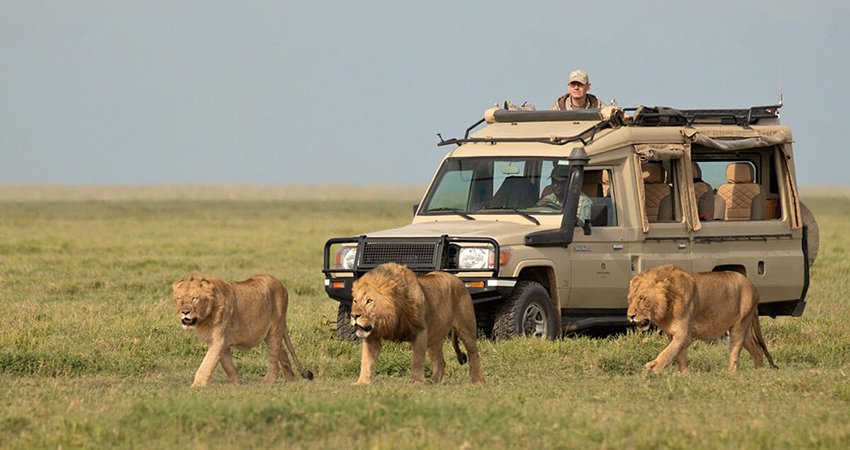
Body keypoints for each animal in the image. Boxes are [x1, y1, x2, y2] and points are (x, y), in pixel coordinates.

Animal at [171, 274, 313, 387]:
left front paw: (196, 386)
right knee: (282, 351)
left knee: (274, 358)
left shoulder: (218, 340)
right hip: (270, 333)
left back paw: (267, 383)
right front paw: (236, 384)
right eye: (179, 298)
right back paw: (291, 380)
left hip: (275, 328)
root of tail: (281, 285)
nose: (185, 312)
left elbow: (207, 364)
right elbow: (228, 366)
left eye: (195, 298)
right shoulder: (222, 343)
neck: (204, 317)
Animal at [349, 262, 483, 385]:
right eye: (355, 301)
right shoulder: (372, 337)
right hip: (433, 337)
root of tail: (458, 279)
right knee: (440, 362)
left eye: (369, 301)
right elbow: (366, 361)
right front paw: (361, 383)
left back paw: (475, 381)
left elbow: (417, 359)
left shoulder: (420, 331)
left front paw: (415, 381)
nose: (354, 315)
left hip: (466, 328)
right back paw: (433, 382)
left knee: (474, 354)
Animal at [627, 264, 777, 374]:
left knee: (735, 350)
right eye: (629, 299)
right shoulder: (672, 334)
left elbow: (668, 353)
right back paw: (759, 373)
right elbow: (679, 354)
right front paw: (684, 375)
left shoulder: (684, 334)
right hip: (744, 330)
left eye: (642, 299)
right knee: (757, 350)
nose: (630, 316)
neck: (667, 305)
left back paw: (730, 373)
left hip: (739, 326)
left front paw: (652, 369)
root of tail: (753, 286)